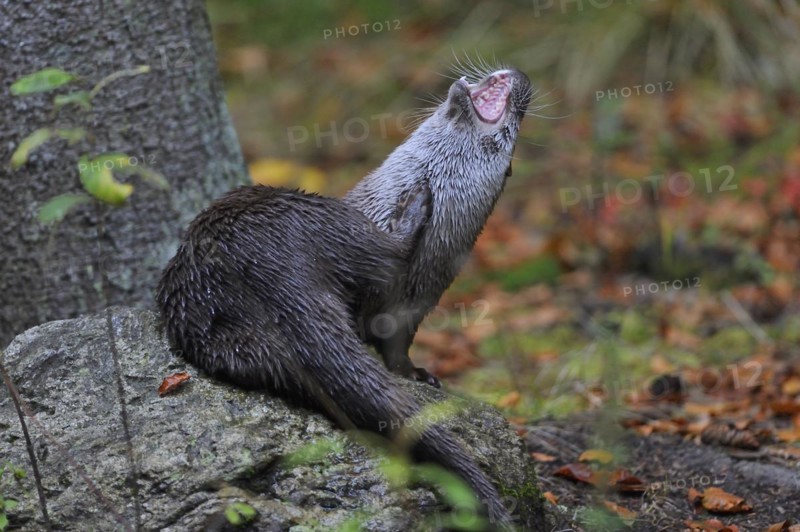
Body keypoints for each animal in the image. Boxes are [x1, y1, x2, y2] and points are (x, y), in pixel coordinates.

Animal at [157, 65, 531, 527]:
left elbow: (396, 342)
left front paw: (415, 374)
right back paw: (418, 202)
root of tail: (264, 264)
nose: (521, 75)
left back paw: (416, 204)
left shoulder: (416, 301)